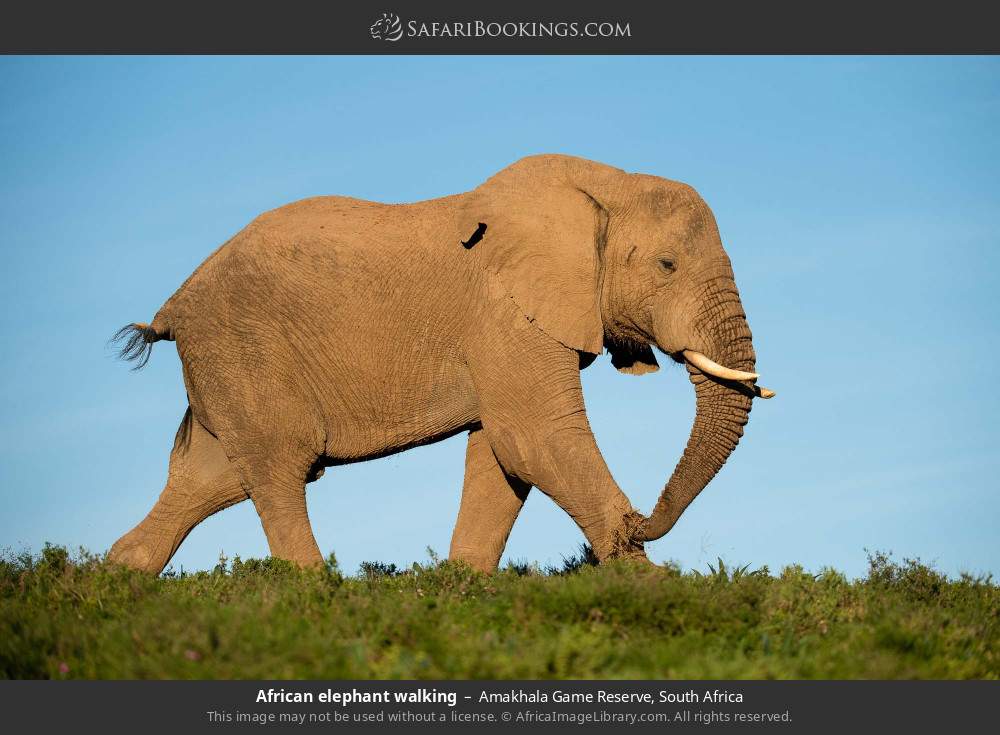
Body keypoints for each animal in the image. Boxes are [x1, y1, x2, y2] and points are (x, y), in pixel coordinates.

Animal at [107, 154, 774, 575]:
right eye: (667, 265)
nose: (640, 521)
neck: (605, 184)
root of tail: (173, 305)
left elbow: (501, 456)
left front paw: (464, 586)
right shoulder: (505, 314)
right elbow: (535, 438)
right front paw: (656, 587)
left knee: (207, 478)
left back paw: (118, 578)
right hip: (244, 349)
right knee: (278, 468)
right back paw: (314, 588)